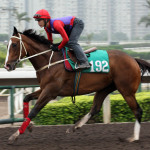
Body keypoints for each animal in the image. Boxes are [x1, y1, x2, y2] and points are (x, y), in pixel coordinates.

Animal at [4, 27, 150, 144]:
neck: (50, 62)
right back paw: (74, 126)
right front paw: (28, 126)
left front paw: (14, 135)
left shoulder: (50, 91)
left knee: (137, 110)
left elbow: (34, 111)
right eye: (7, 46)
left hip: (126, 90)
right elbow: (26, 98)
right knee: (95, 108)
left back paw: (134, 138)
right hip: (105, 88)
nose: (7, 65)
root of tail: (133, 59)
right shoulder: (45, 89)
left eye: (15, 45)